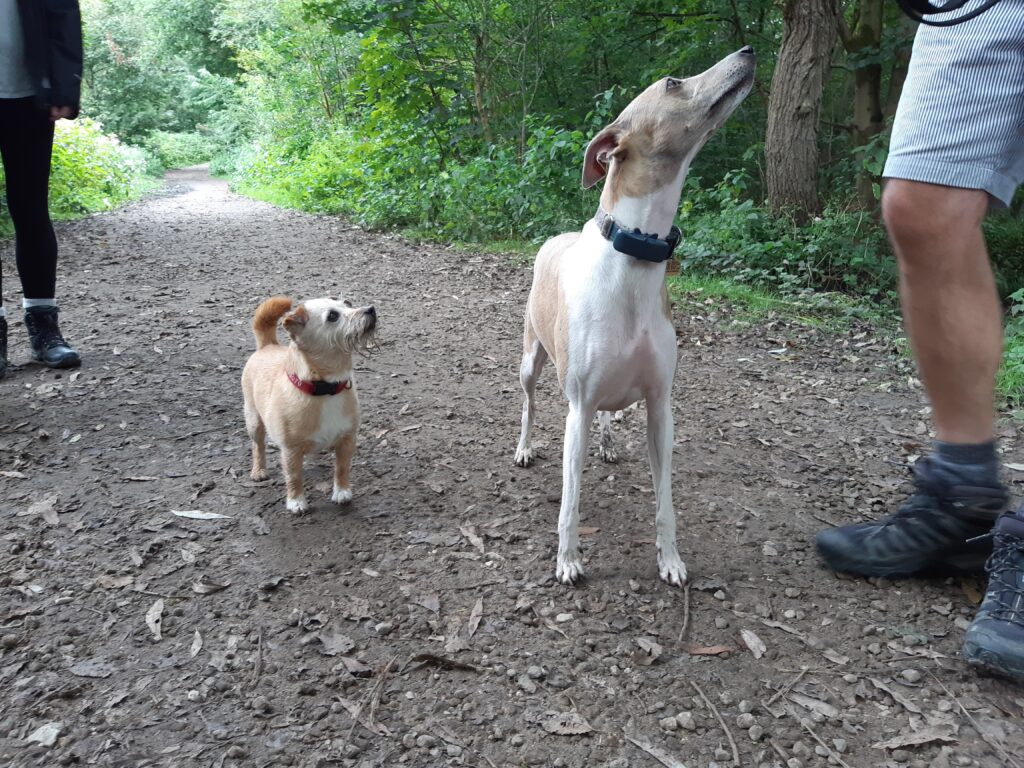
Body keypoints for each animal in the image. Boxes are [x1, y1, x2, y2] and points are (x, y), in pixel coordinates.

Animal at [242, 294, 376, 512]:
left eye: (347, 304)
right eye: (332, 316)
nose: (371, 309)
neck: (326, 389)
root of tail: (267, 345)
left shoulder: (347, 439)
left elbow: (342, 468)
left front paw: (342, 492)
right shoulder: (290, 449)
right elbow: (294, 477)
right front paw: (296, 501)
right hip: (253, 421)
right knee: (257, 445)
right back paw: (259, 470)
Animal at [516, 48, 757, 585]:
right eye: (673, 82)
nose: (747, 53)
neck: (633, 258)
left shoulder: (659, 405)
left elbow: (665, 500)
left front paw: (670, 559)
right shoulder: (578, 408)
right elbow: (570, 501)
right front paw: (568, 560)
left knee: (609, 413)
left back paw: (607, 442)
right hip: (530, 360)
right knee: (529, 403)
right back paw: (523, 446)